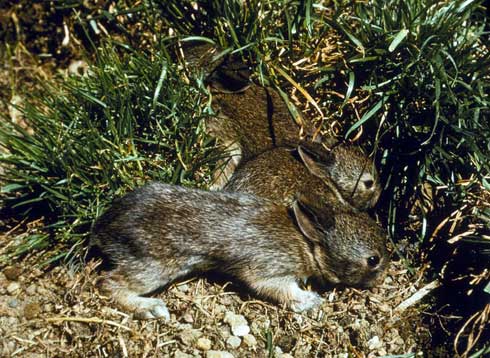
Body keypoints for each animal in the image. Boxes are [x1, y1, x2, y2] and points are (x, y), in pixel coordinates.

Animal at [92, 183, 388, 320]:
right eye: (373, 260)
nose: (381, 278)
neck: (308, 244)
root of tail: (105, 227)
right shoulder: (270, 270)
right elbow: (280, 289)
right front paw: (312, 301)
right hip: (152, 265)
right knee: (109, 283)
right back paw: (152, 309)